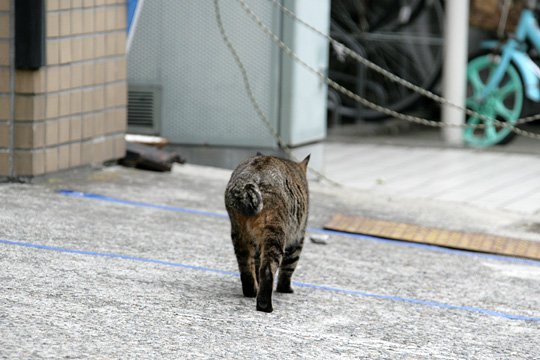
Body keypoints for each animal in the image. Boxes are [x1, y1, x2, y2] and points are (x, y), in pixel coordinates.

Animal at [224, 152, 310, 312]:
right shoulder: (298, 238)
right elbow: (289, 267)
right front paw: (285, 289)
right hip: (275, 234)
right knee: (267, 270)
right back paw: (264, 305)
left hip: (240, 234)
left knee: (246, 268)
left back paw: (252, 291)